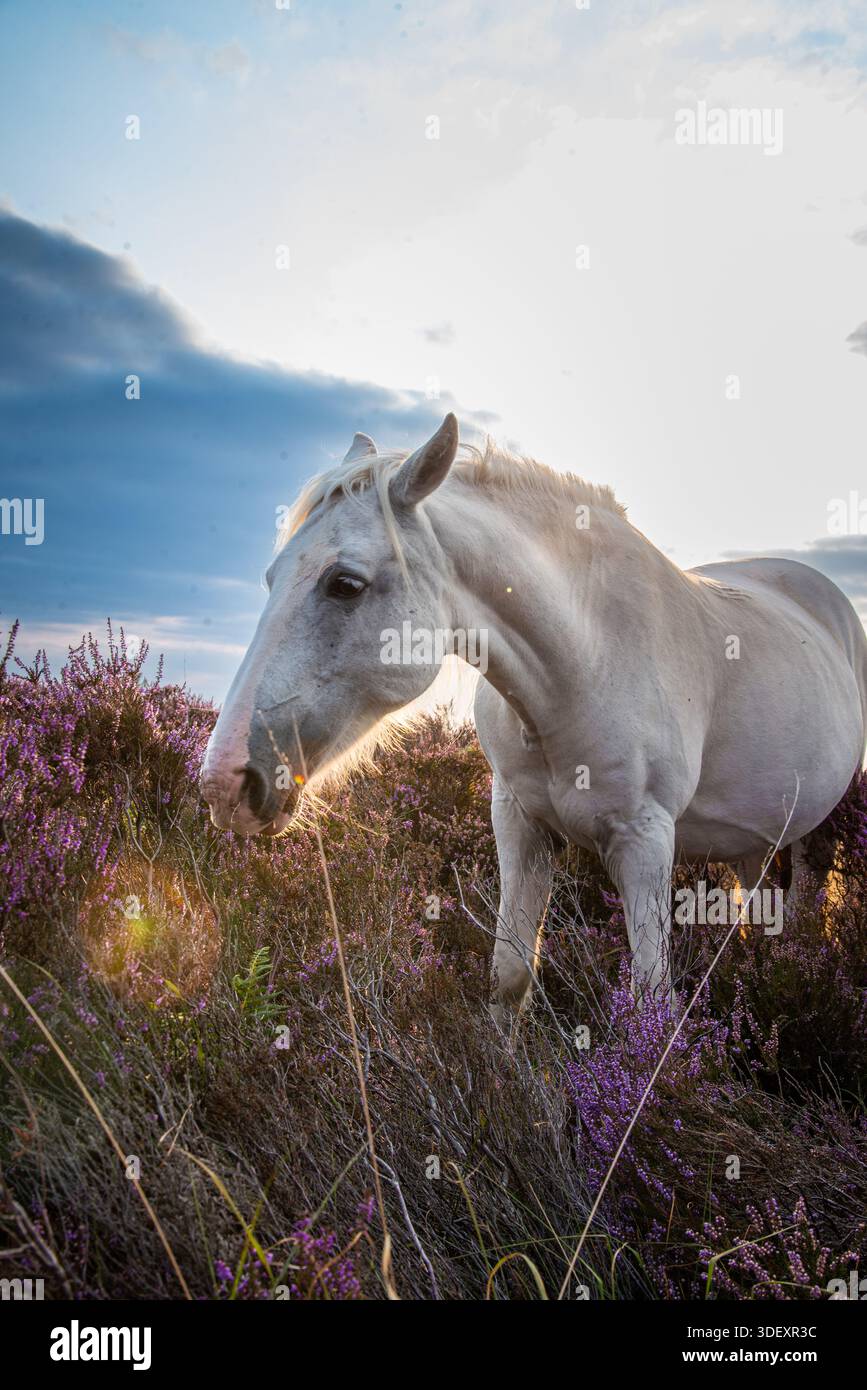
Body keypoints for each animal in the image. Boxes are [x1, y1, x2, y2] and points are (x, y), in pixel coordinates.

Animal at [200, 414, 867, 1025]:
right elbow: (511, 973)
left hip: (816, 828)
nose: (226, 782)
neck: (582, 662)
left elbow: (652, 1002)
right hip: (755, 837)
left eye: (345, 583)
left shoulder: (646, 841)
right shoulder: (520, 823)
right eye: (270, 578)